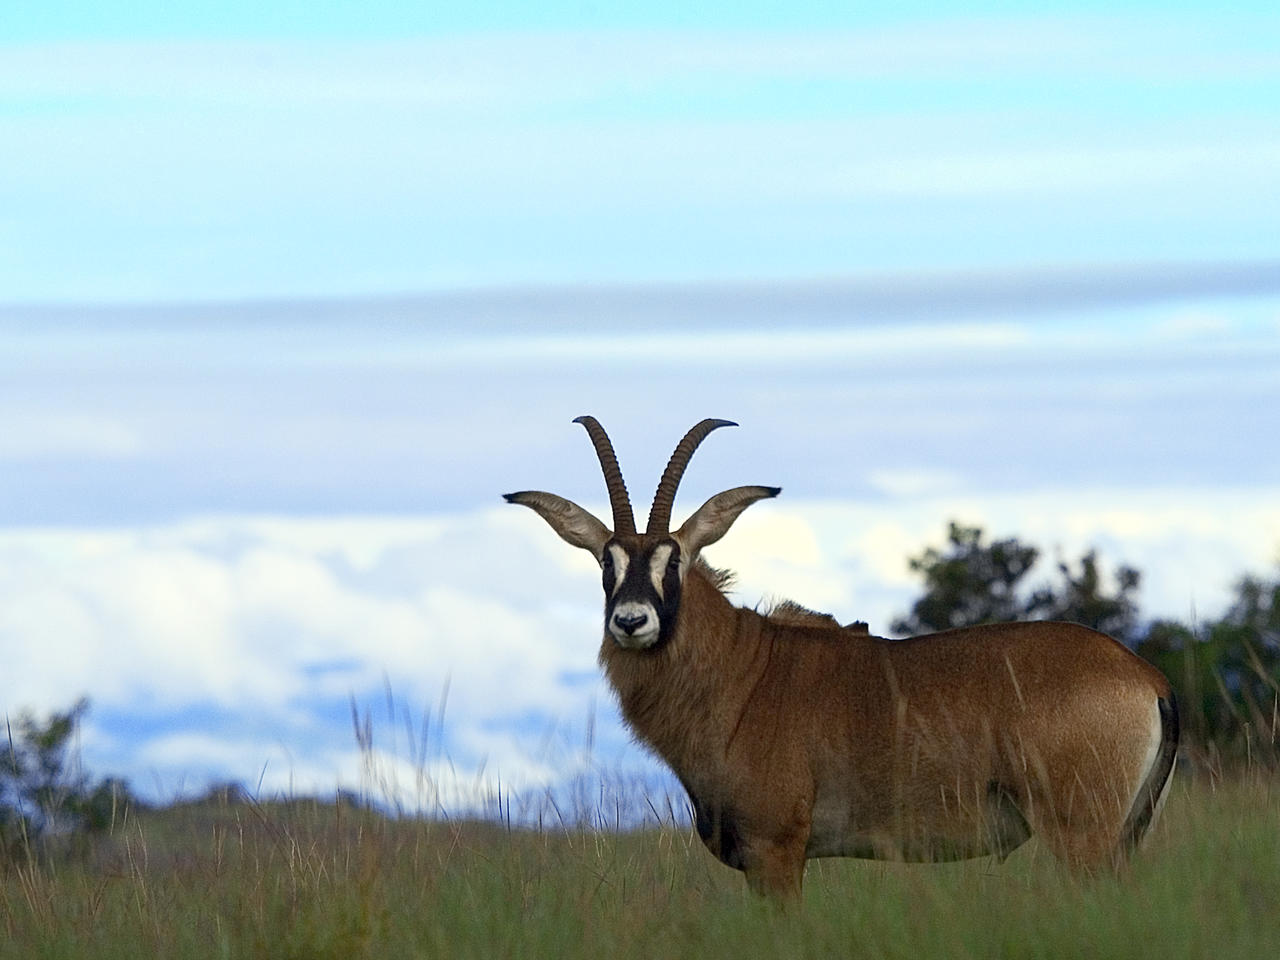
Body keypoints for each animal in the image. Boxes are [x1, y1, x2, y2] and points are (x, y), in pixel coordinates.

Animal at [505, 417, 1179, 898]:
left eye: (675, 559)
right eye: (607, 561)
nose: (631, 621)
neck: (742, 671)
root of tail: (1145, 677)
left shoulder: (777, 852)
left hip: (1081, 839)